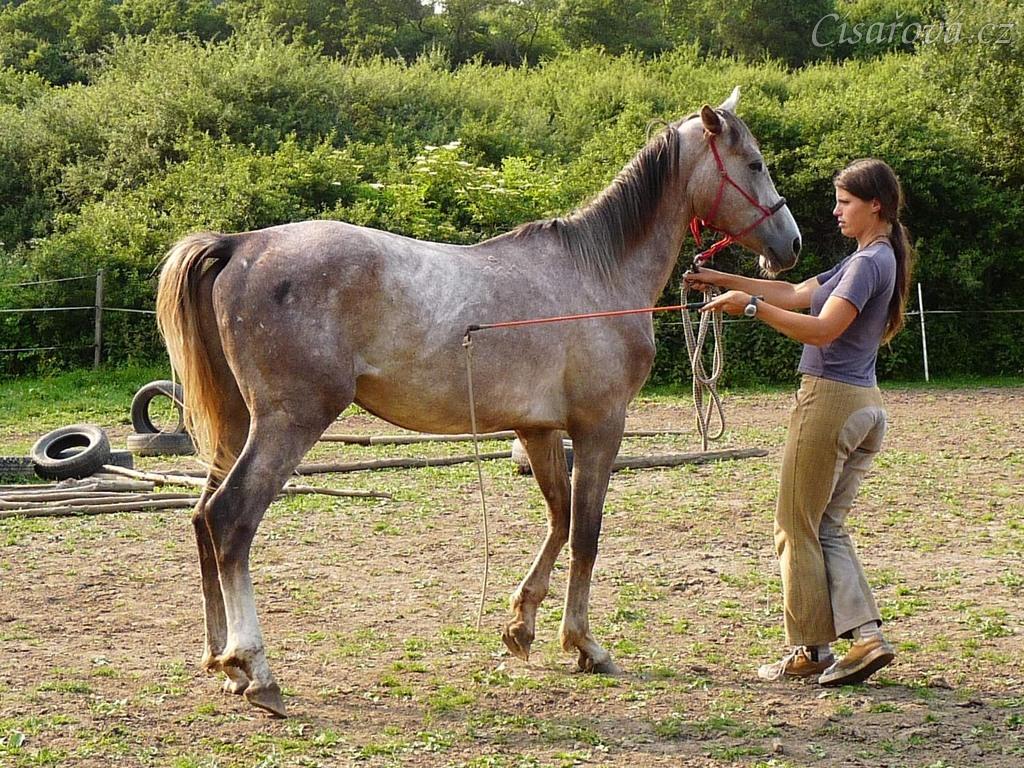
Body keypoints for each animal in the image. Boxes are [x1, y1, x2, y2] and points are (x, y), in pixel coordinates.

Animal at [156, 87, 800, 717]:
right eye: (755, 164)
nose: (790, 245)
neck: (598, 274)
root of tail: (240, 245)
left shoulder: (539, 430)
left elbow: (559, 519)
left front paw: (520, 627)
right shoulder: (600, 427)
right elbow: (587, 532)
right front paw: (584, 644)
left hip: (239, 426)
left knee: (202, 518)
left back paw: (224, 664)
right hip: (289, 423)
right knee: (231, 518)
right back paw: (256, 671)